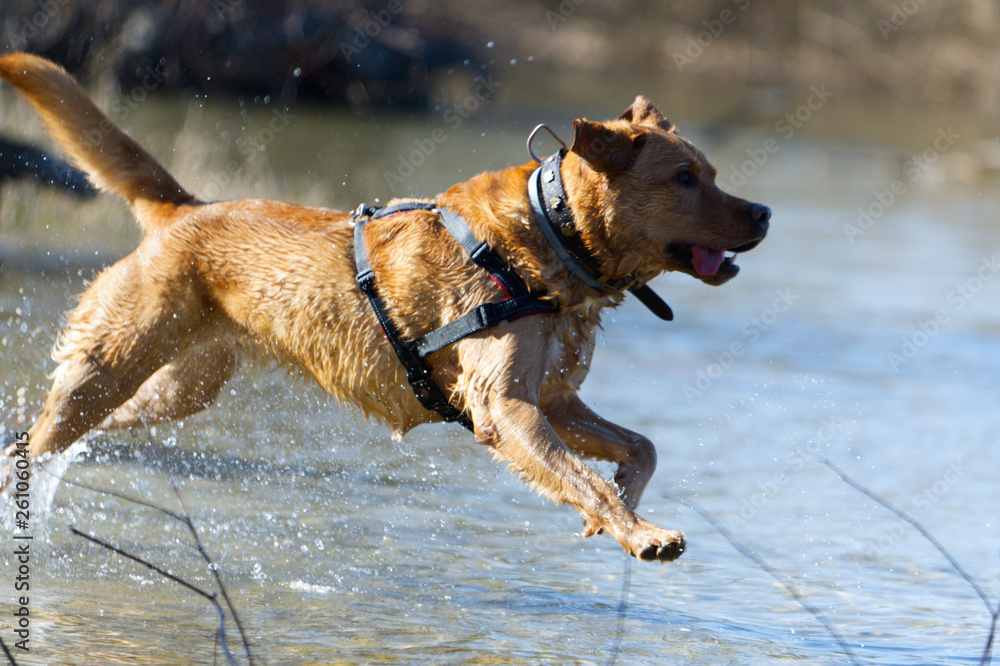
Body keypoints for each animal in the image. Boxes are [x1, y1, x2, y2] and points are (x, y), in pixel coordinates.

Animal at [0, 53, 768, 560]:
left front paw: (624, 506)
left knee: (42, 435)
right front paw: (641, 531)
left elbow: (640, 447)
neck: (552, 235)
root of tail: (185, 210)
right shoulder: (505, 407)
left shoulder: (553, 399)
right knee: (38, 437)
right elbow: (584, 480)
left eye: (712, 173)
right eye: (684, 177)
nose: (763, 213)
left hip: (178, 389)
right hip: (110, 366)